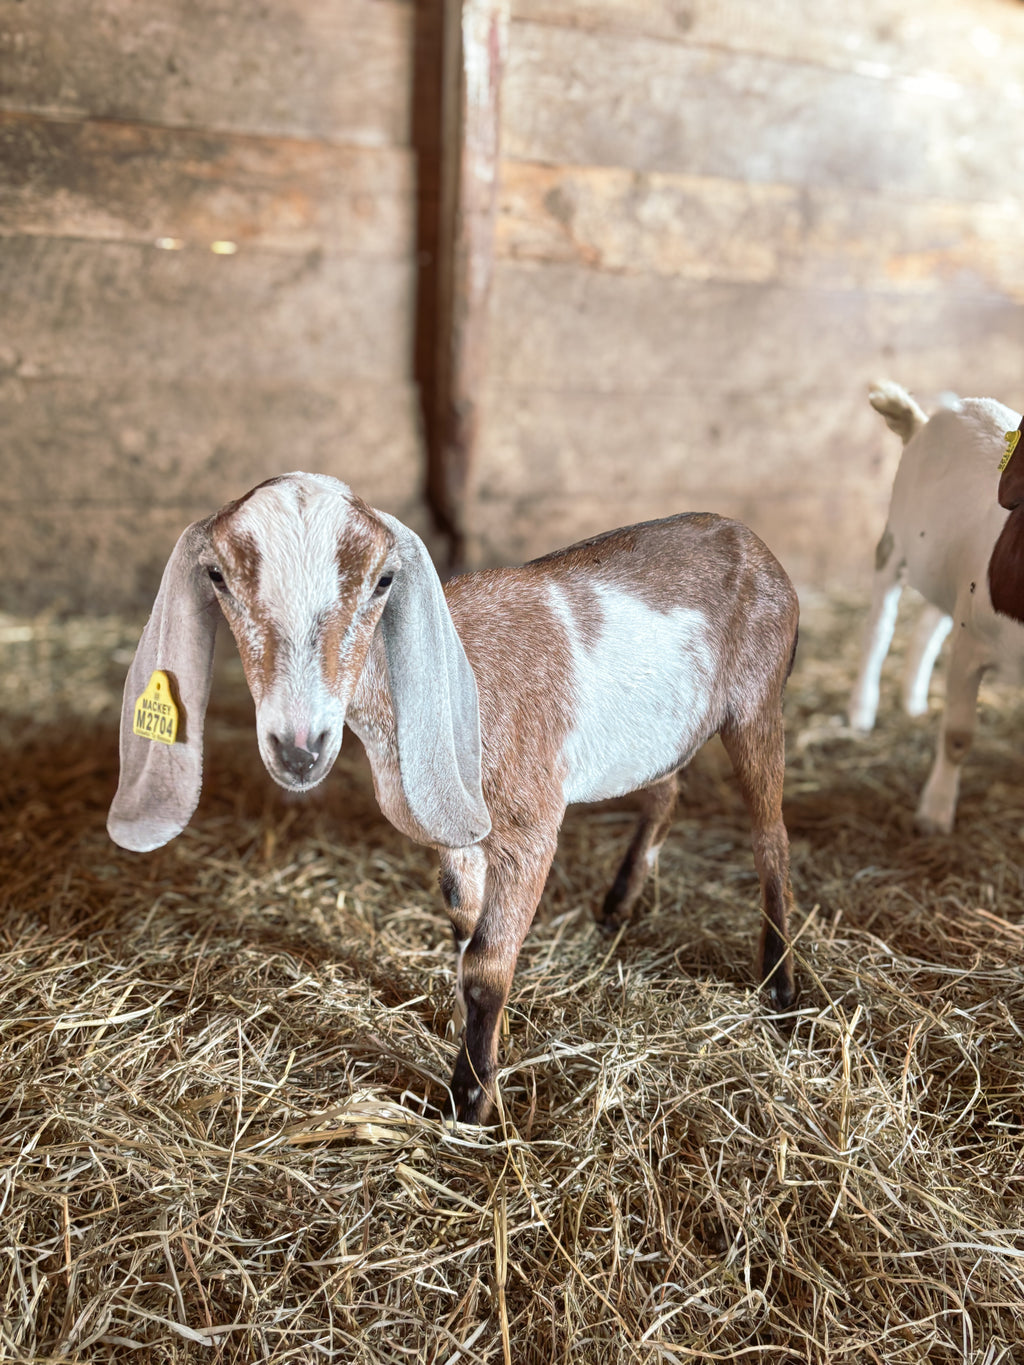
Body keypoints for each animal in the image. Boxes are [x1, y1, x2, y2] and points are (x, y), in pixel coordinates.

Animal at [108, 474, 800, 1123]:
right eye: (218, 576)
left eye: (383, 580)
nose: (299, 747)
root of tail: (751, 541)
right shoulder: (457, 828)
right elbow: (465, 925)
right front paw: (480, 1038)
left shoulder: (530, 825)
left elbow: (488, 964)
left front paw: (470, 1099)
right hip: (657, 732)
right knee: (666, 791)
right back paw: (617, 908)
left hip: (757, 700)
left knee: (771, 837)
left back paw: (782, 992)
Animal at [850, 382, 1024, 832]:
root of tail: (927, 419)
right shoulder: (970, 648)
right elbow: (959, 735)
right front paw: (934, 814)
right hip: (894, 541)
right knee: (878, 627)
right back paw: (861, 711)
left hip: (950, 574)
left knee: (929, 624)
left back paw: (913, 702)